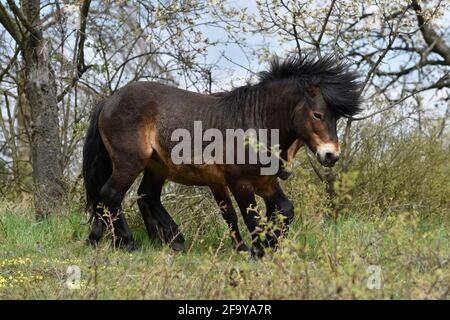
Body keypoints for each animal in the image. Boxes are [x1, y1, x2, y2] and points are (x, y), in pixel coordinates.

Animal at [81, 53, 362, 256]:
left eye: (336, 117)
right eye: (318, 114)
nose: (331, 155)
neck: (255, 121)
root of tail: (109, 100)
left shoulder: (264, 183)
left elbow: (284, 210)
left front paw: (269, 244)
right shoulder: (240, 183)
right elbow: (249, 217)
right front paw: (258, 250)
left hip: (157, 166)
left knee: (146, 196)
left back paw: (169, 240)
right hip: (129, 162)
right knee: (111, 195)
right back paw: (127, 242)